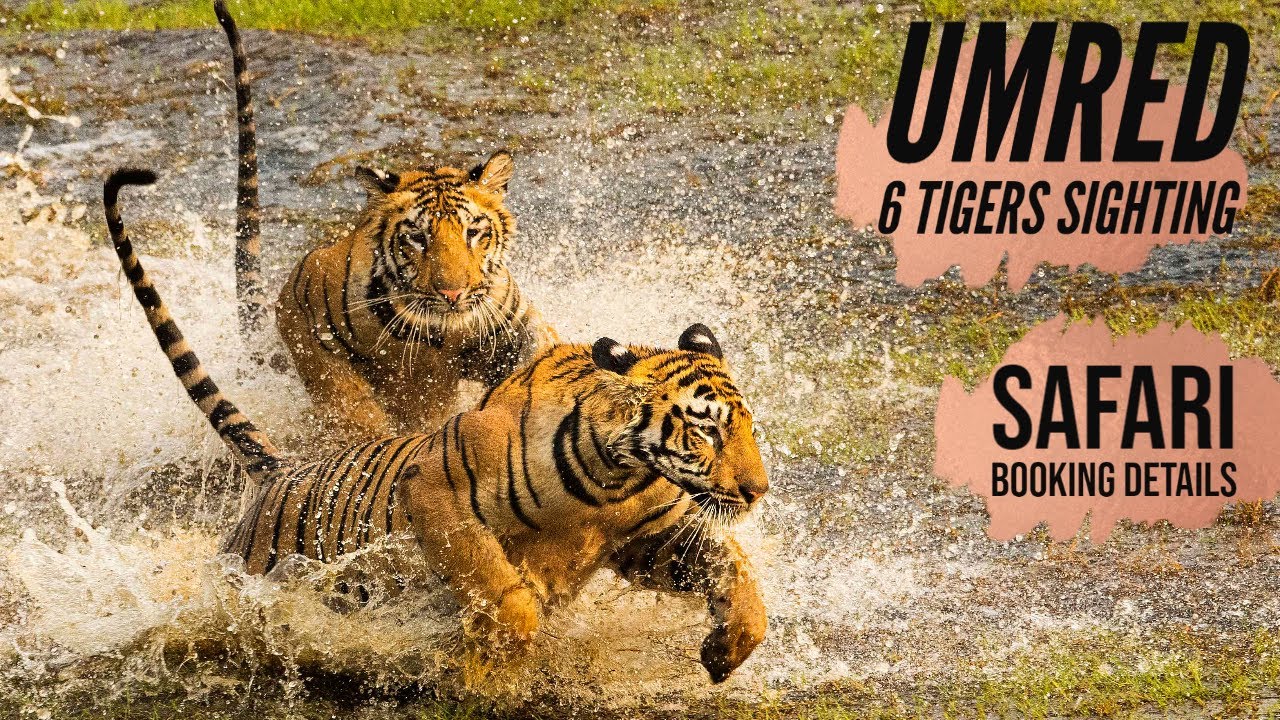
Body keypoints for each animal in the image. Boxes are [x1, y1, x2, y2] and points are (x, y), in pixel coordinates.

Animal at [106, 169, 769, 683]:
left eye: (746, 427)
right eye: (705, 428)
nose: (758, 490)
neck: (618, 478)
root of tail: (279, 469)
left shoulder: (654, 541)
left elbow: (738, 578)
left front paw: (726, 650)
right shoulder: (434, 493)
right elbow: (504, 591)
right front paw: (490, 660)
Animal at [213, 0, 553, 440]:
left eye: (473, 233)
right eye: (418, 238)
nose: (453, 294)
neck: (447, 333)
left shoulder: (514, 329)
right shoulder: (319, 336)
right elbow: (354, 406)